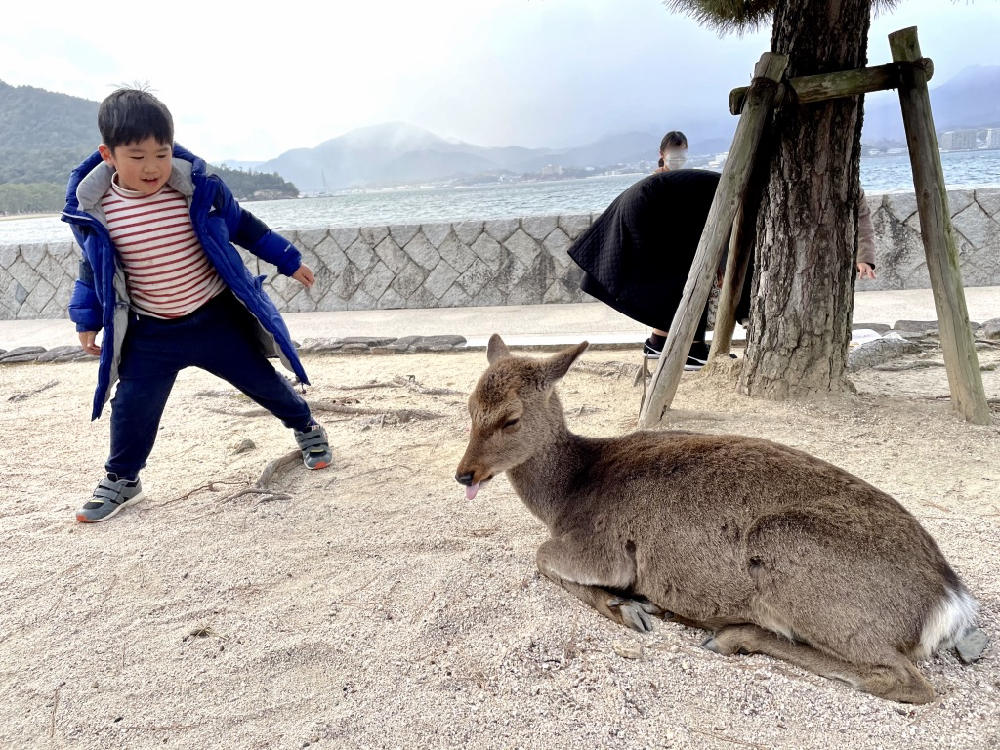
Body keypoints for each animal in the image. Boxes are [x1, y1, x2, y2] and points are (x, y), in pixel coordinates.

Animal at [458, 338, 988, 708]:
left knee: (905, 680)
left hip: (794, 556)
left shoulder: (602, 547)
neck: (567, 496)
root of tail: (949, 599)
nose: (464, 473)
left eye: (510, 418)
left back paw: (728, 633)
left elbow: (542, 556)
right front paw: (633, 607)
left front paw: (627, 608)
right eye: (468, 408)